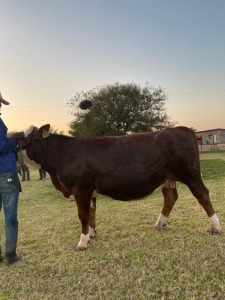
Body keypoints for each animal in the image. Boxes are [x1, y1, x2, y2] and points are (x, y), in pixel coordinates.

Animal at [21, 125, 221, 250]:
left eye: (31, 138)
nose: (18, 149)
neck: (62, 155)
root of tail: (180, 129)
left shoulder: (80, 189)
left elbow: (83, 215)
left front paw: (82, 242)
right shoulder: (90, 191)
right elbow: (92, 213)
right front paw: (91, 234)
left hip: (190, 175)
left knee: (203, 195)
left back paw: (216, 227)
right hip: (168, 178)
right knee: (170, 197)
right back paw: (159, 224)